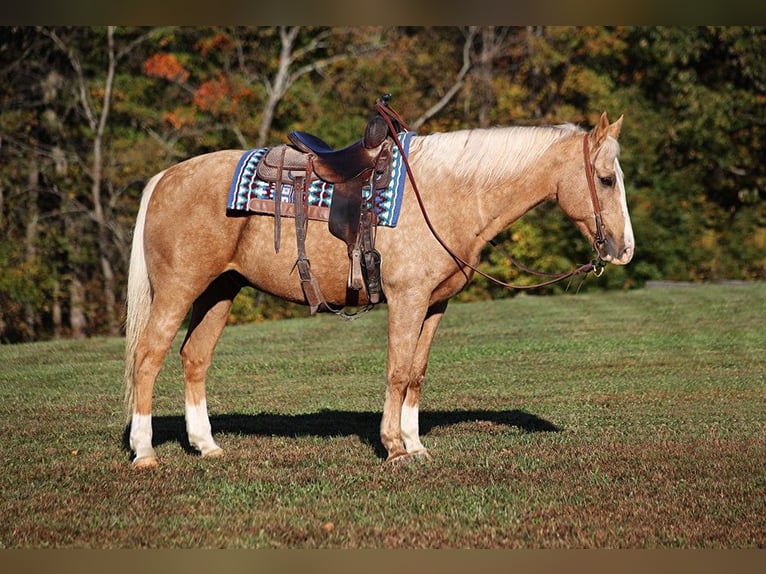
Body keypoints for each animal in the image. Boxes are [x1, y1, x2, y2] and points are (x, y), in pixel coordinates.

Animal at [124, 111, 634, 468]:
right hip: (179, 288)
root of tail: (165, 178)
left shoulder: (435, 304)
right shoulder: (407, 299)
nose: (624, 249)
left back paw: (206, 445)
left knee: (194, 358)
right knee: (148, 358)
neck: (446, 194)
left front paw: (415, 444)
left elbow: (416, 374)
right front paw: (394, 447)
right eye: (606, 179)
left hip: (220, 291)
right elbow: (397, 371)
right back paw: (145, 452)